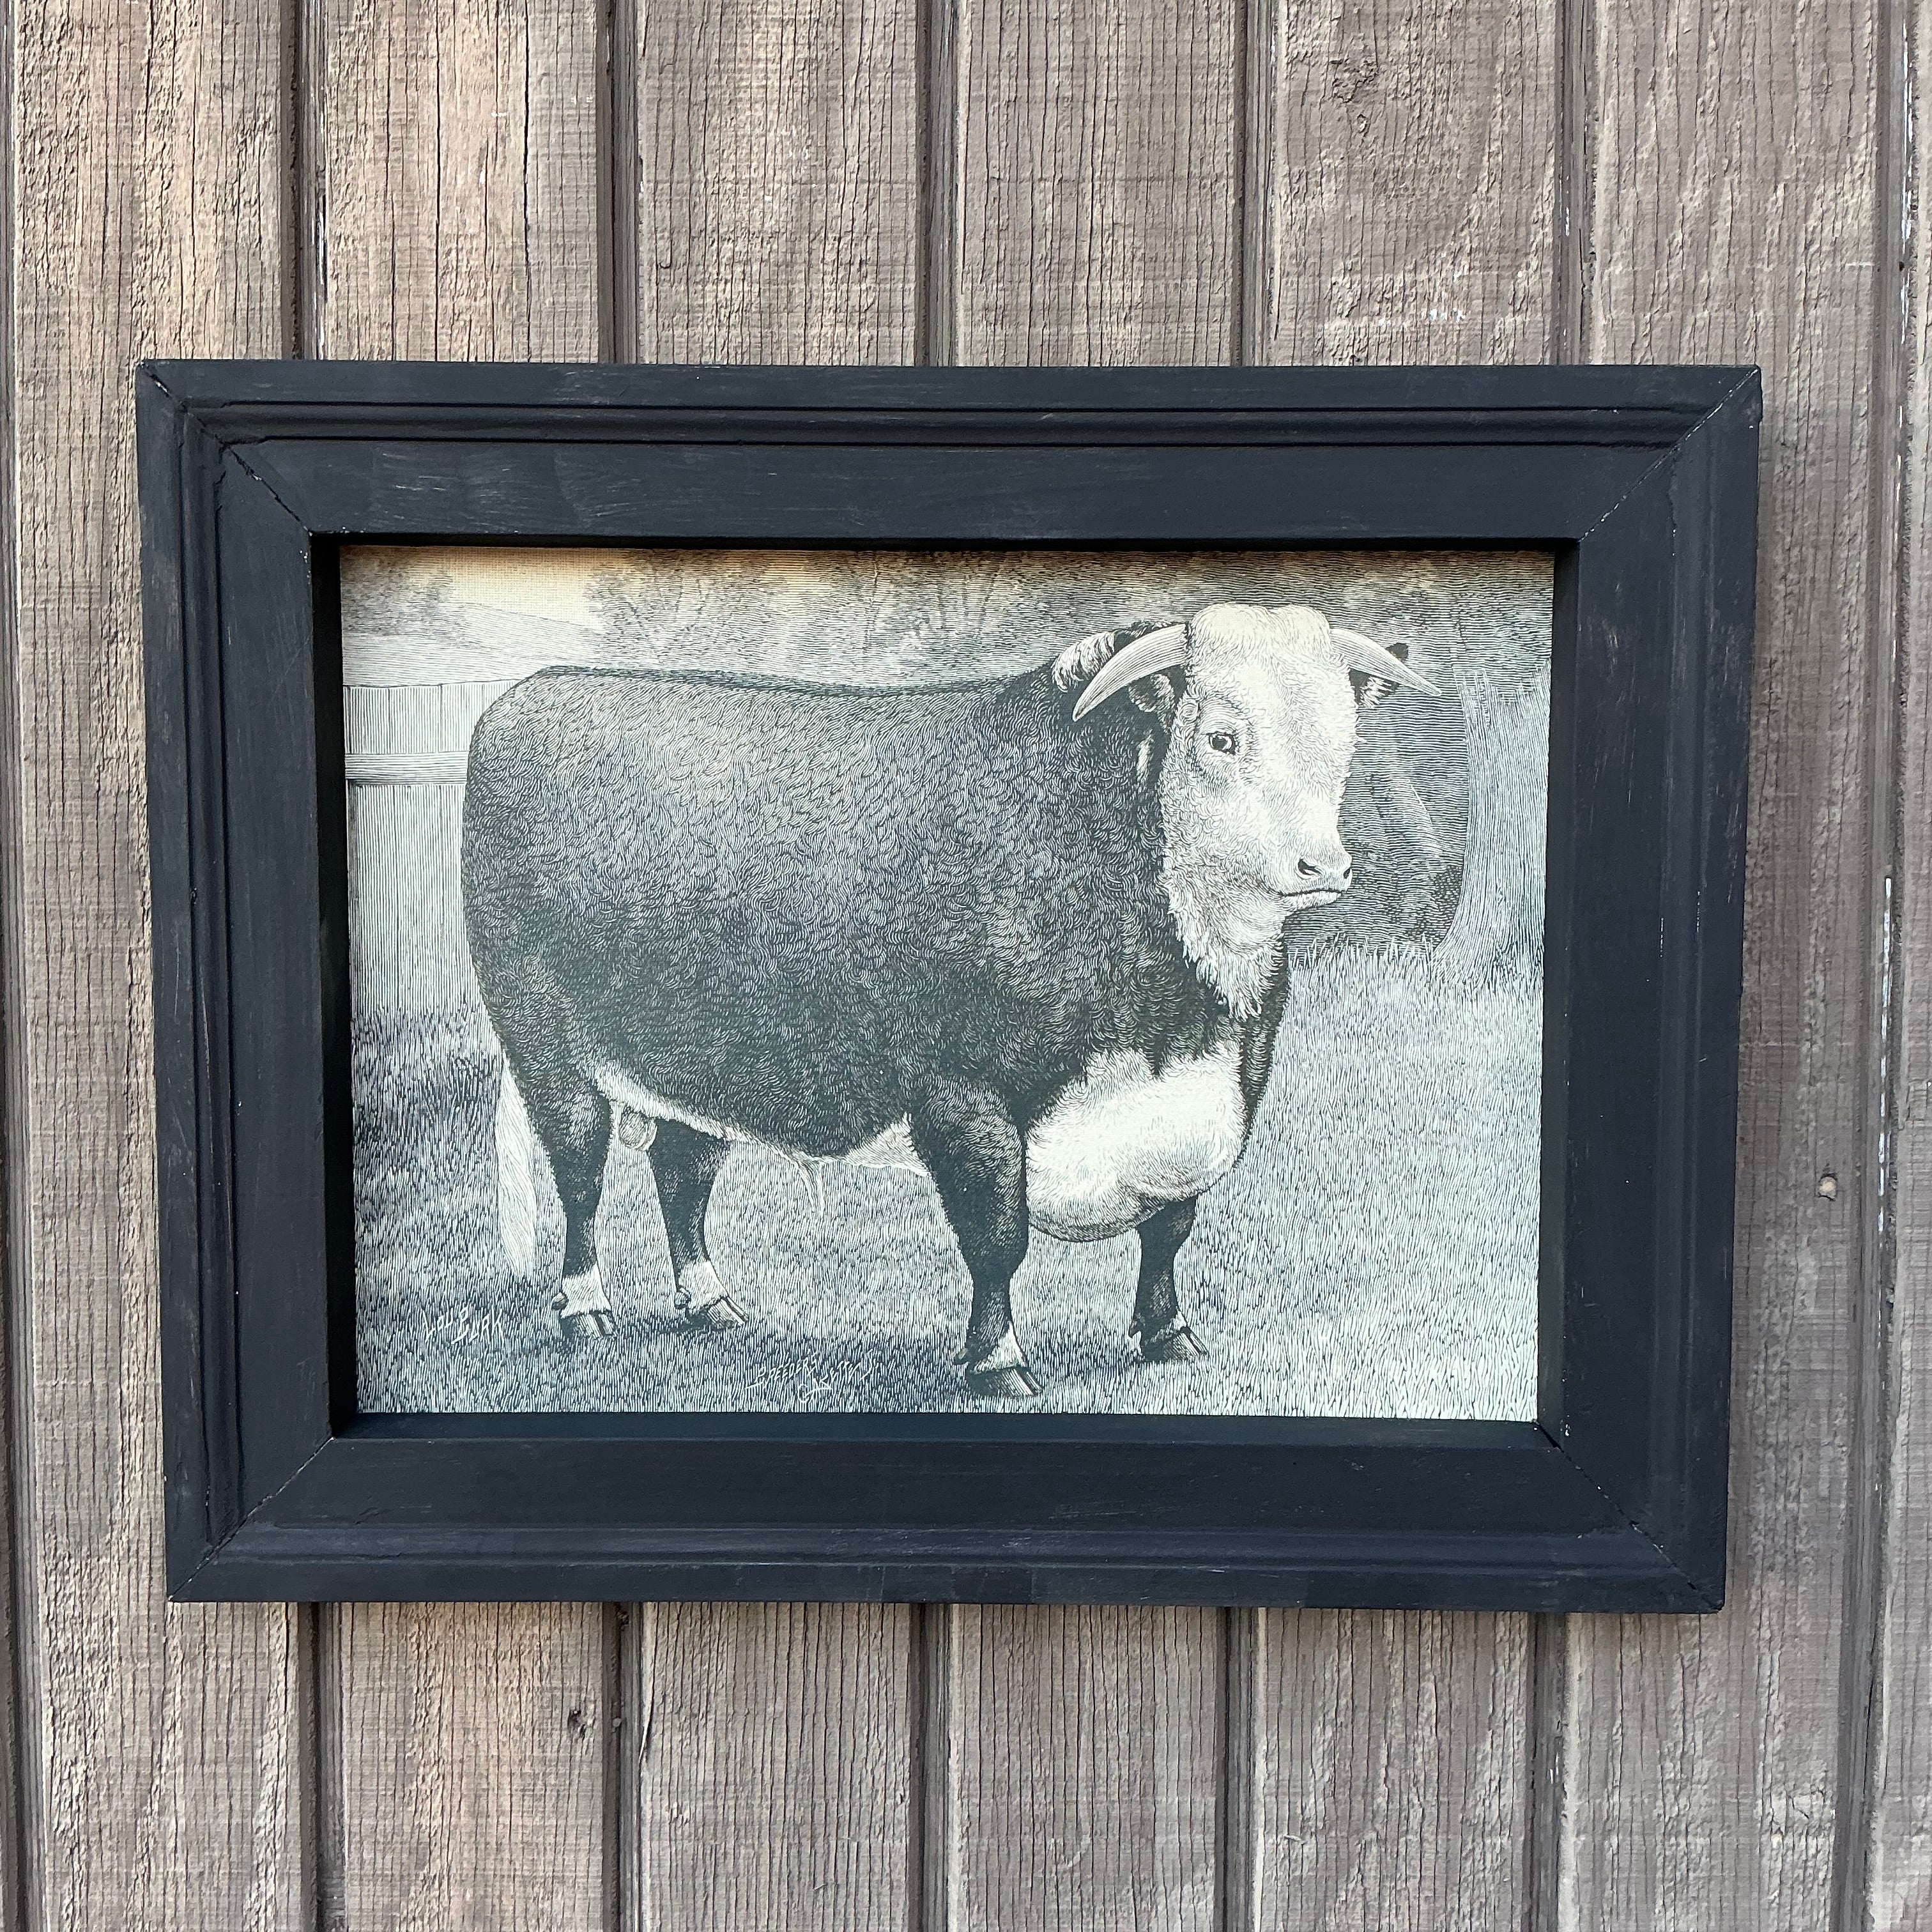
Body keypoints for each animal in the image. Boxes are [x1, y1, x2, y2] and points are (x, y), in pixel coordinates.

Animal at [461, 602, 1439, 1398]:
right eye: (1222, 739)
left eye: (1344, 738)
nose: (1323, 865)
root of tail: (536, 690)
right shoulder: (964, 1097)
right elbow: (996, 1238)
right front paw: (997, 1362)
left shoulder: (1202, 1105)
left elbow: (1170, 1228)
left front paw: (1166, 1337)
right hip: (544, 1040)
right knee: (582, 1172)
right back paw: (584, 1309)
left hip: (700, 1055)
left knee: (683, 1168)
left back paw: (711, 1304)